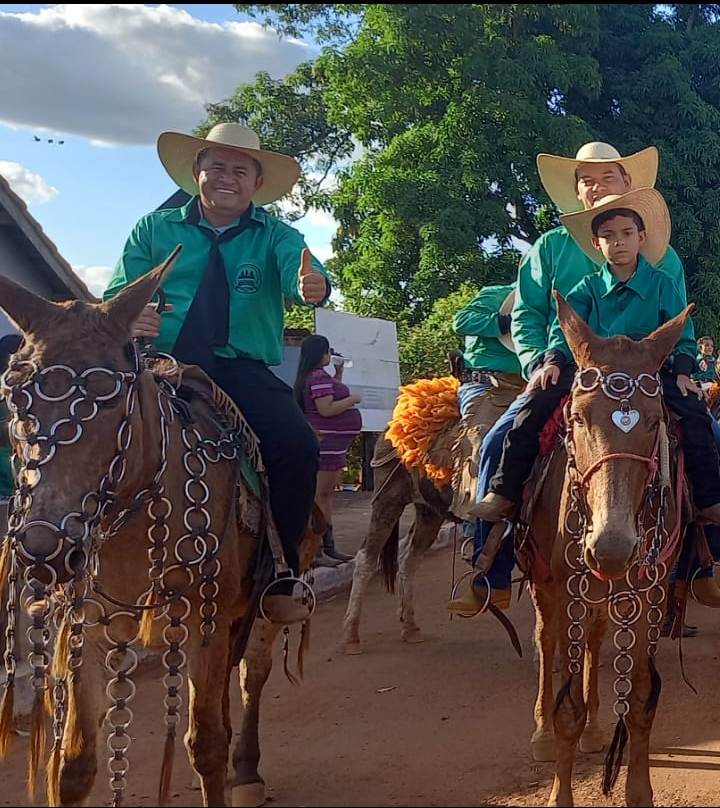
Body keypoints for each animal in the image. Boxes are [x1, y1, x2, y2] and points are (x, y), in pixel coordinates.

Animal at [0, 260, 320, 808]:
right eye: (16, 399)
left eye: (112, 403)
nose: (45, 551)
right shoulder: (89, 622)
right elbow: (75, 767)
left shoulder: (206, 619)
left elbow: (206, 743)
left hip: (266, 603)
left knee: (250, 675)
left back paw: (246, 771)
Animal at [524, 296, 688, 808]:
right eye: (577, 417)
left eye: (655, 421)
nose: (611, 548)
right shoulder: (567, 590)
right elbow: (568, 710)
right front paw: (560, 793)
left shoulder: (653, 597)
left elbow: (639, 702)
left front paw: (639, 792)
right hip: (545, 586)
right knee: (546, 641)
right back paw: (541, 733)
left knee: (595, 642)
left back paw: (597, 729)